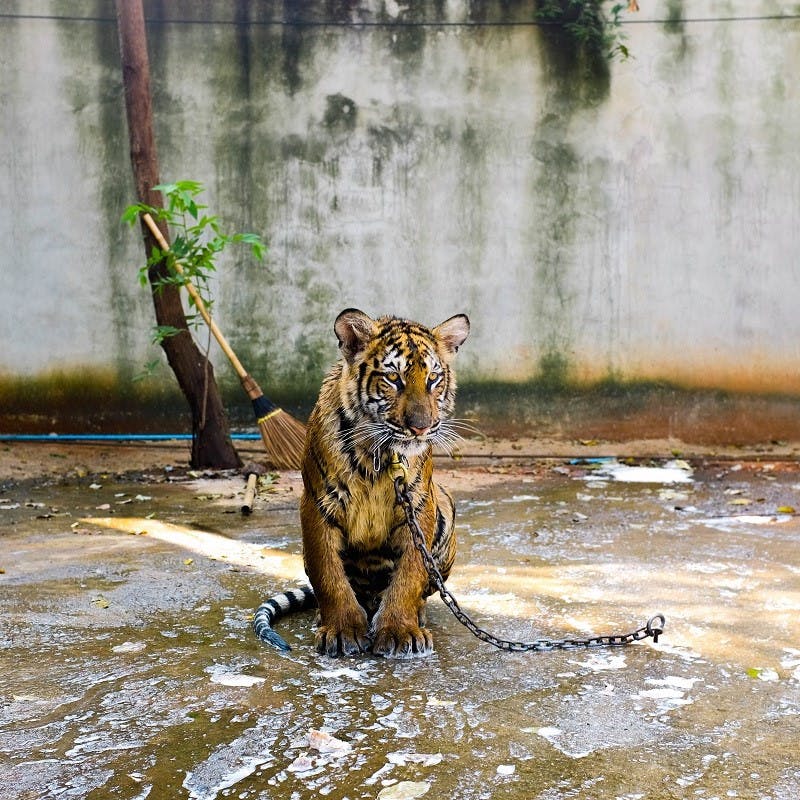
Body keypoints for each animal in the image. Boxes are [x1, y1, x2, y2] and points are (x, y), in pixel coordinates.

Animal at [256, 306, 468, 656]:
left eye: (433, 379)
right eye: (393, 378)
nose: (421, 428)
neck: (377, 455)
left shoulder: (418, 505)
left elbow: (410, 574)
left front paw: (400, 630)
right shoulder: (318, 503)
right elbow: (327, 573)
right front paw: (342, 629)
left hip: (445, 507)